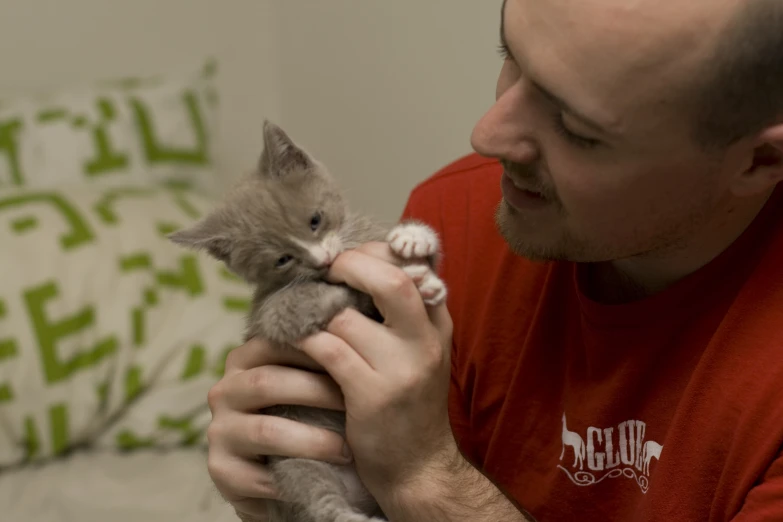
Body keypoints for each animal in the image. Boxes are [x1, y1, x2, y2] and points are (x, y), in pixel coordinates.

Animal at [169, 120, 450, 516]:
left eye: (315, 220)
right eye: (282, 259)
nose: (323, 260)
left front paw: (414, 243)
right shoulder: (272, 311)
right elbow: (306, 304)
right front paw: (396, 280)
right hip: (295, 461)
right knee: (318, 497)